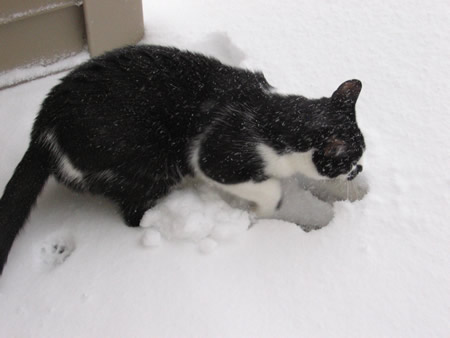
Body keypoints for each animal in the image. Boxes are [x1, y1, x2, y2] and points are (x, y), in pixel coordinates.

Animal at [0, 44, 366, 274]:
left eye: (361, 155)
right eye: (349, 159)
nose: (359, 169)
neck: (272, 116)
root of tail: (42, 132)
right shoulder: (215, 156)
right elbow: (271, 189)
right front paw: (261, 214)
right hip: (153, 161)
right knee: (134, 214)